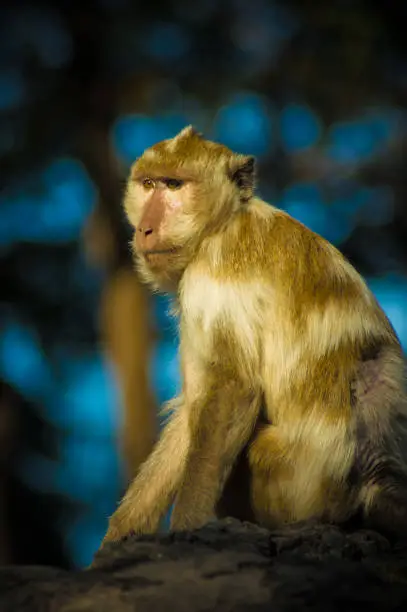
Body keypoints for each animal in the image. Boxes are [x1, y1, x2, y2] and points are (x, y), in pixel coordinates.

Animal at [99, 124, 407, 544]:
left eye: (174, 185)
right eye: (148, 184)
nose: (146, 228)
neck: (223, 222)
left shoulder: (212, 275)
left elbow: (231, 390)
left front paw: (188, 528)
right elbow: (195, 406)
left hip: (294, 483)